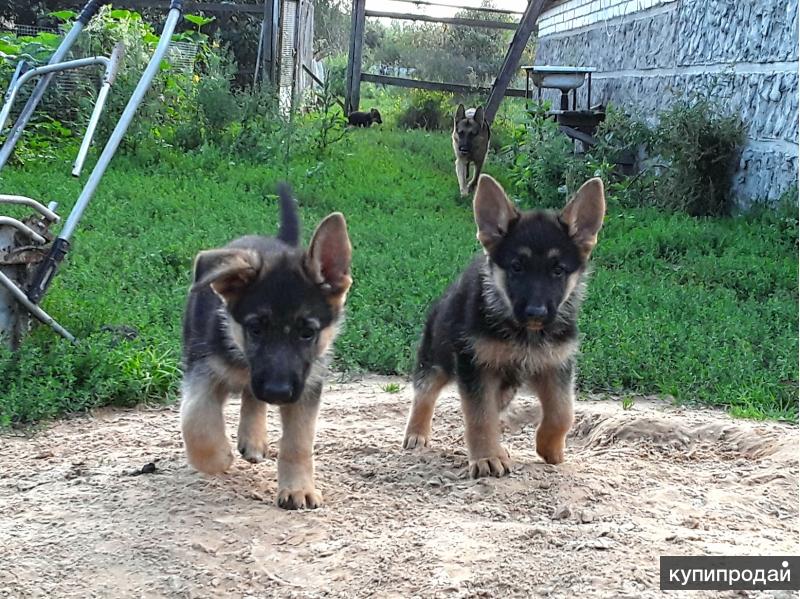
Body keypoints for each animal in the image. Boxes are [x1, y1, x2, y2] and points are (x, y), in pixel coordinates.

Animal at [184, 184, 354, 510]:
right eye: (255, 329)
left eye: (307, 332)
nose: (277, 392)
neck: (243, 360)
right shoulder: (201, 368)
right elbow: (195, 419)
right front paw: (217, 457)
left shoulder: (306, 386)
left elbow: (298, 443)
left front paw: (298, 488)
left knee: (252, 398)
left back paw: (253, 439)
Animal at [404, 173, 604, 478]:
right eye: (517, 267)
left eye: (558, 270)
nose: (536, 312)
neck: (526, 334)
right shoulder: (476, 368)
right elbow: (480, 417)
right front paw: (486, 458)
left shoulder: (557, 364)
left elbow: (563, 412)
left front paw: (550, 448)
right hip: (437, 356)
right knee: (424, 392)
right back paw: (417, 433)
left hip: (505, 387)